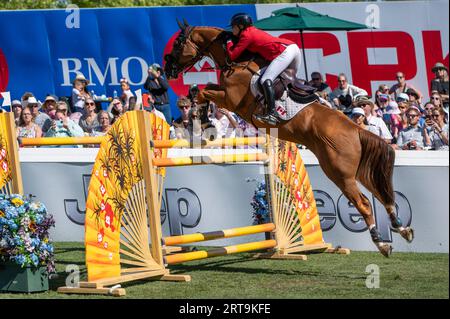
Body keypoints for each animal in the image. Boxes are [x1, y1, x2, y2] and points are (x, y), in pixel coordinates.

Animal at [163, 21, 414, 258]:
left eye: (177, 44)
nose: (167, 70)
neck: (234, 62)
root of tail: (355, 129)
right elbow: (204, 89)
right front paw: (204, 118)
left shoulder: (231, 99)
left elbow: (202, 91)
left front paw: (204, 119)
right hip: (358, 171)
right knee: (382, 195)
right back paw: (402, 229)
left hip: (339, 173)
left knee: (364, 203)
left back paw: (382, 244)